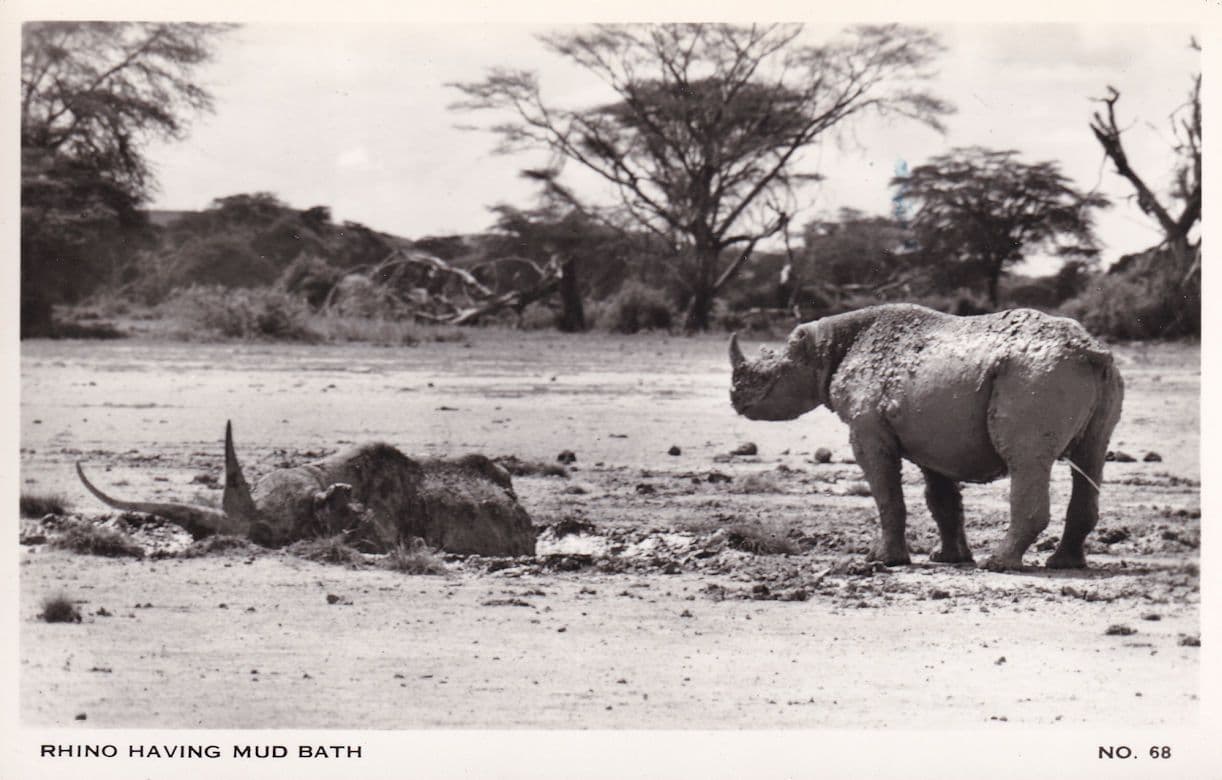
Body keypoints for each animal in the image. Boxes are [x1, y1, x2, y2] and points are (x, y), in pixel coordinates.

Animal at [729, 304, 1124, 571]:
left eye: (767, 375)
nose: (735, 399)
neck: (825, 349)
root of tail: (1092, 351)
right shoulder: (934, 439)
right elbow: (941, 500)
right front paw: (948, 558)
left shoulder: (868, 431)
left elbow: (887, 495)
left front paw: (883, 560)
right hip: (1083, 377)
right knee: (1091, 456)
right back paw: (1064, 564)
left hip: (1033, 376)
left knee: (1026, 459)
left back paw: (998, 564)